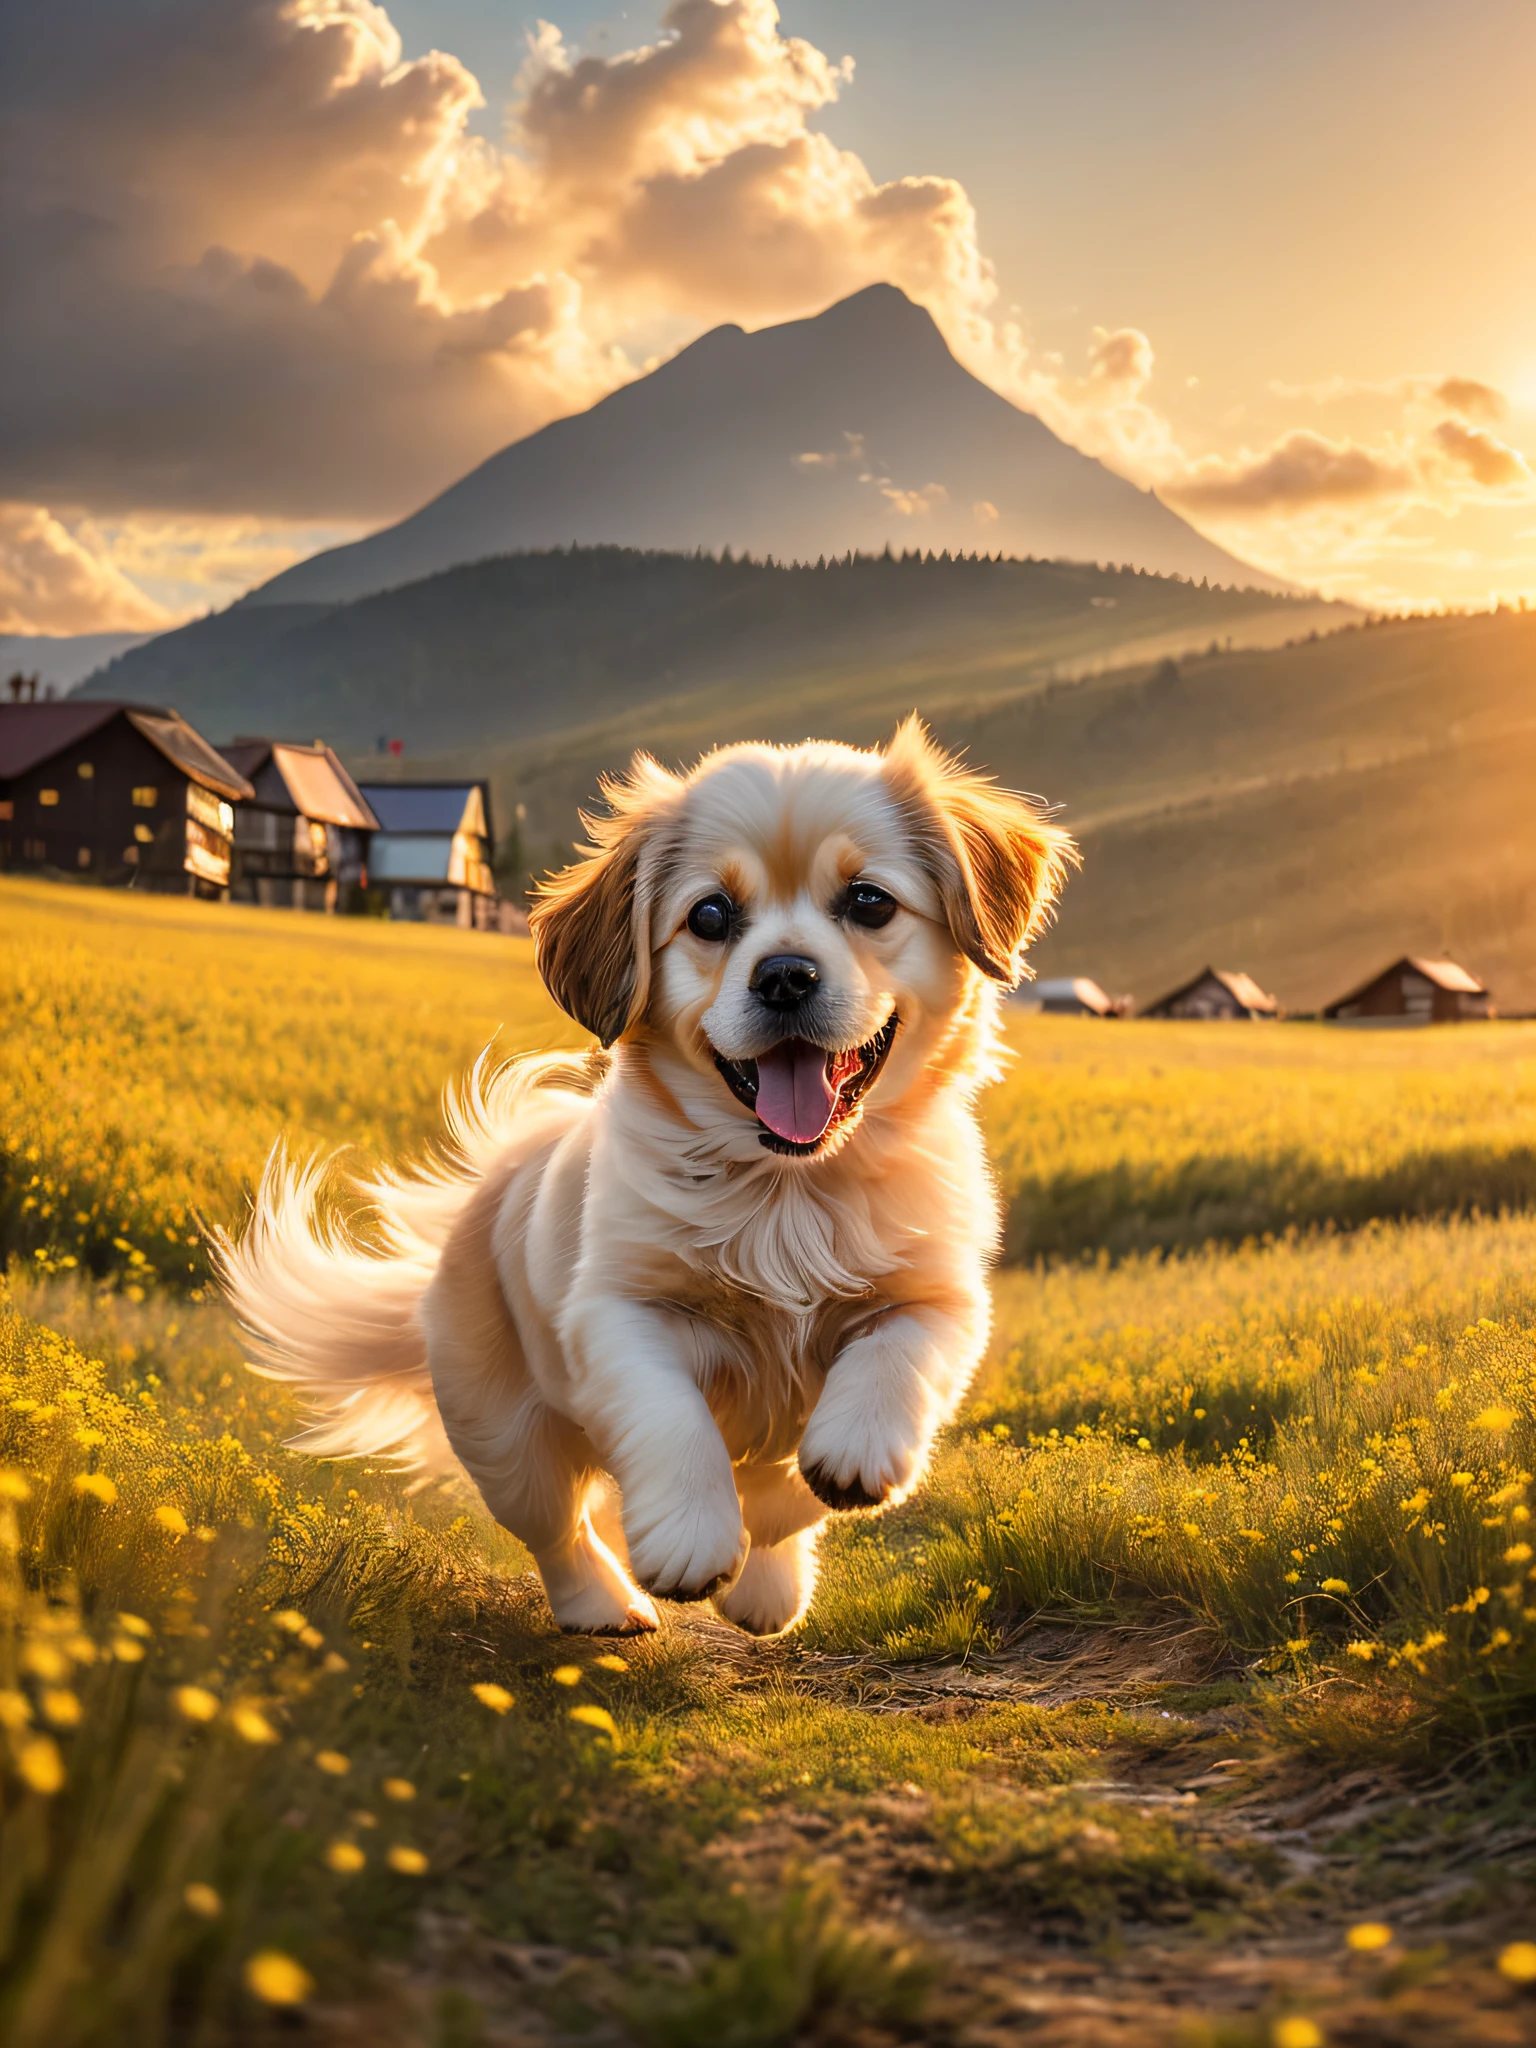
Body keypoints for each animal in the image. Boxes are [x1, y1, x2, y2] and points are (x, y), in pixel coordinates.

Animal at [217, 729, 1073, 1638]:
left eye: (870, 902)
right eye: (710, 916)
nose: (785, 974)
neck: (788, 1191)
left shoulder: (940, 1298)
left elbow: (881, 1373)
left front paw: (843, 1462)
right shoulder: (621, 1314)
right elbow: (675, 1420)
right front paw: (692, 1542)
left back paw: (768, 1588)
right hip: (506, 1437)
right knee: (558, 1533)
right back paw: (608, 1606)